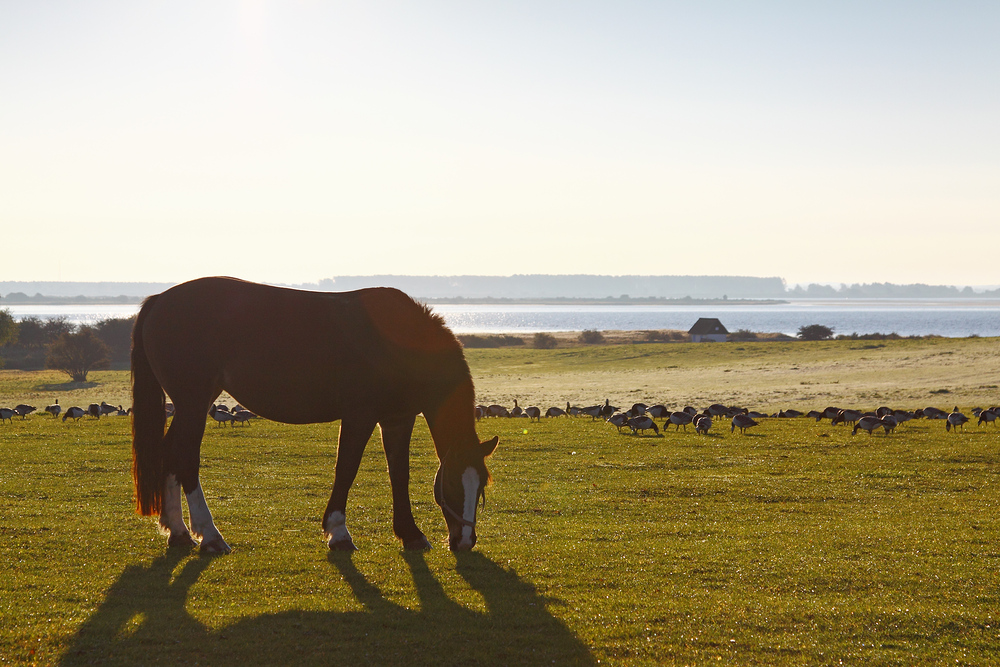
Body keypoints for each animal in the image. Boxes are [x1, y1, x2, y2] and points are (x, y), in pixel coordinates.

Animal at [133, 276, 500, 552]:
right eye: (452, 484)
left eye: (480, 487)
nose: (465, 541)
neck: (399, 339)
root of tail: (160, 300)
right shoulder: (360, 415)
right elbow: (346, 468)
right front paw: (338, 532)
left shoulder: (398, 419)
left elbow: (399, 473)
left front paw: (410, 534)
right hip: (194, 402)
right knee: (185, 457)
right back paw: (209, 535)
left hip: (190, 405)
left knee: (169, 453)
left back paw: (179, 531)